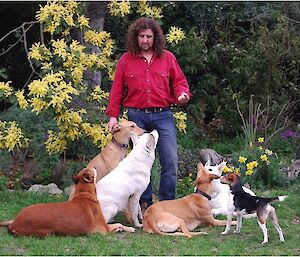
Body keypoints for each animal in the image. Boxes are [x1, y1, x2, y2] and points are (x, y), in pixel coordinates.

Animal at [0, 167, 134, 237]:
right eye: (91, 170)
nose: (95, 167)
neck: (84, 193)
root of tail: (14, 224)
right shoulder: (103, 229)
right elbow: (118, 224)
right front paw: (129, 228)